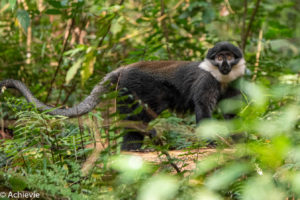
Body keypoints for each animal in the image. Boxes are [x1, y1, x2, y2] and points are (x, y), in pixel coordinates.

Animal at [0, 41, 245, 150]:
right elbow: (203, 109)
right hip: (132, 88)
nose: (225, 64)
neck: (220, 77)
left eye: (229, 56)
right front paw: (212, 143)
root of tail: (125, 68)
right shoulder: (206, 81)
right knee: (137, 117)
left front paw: (241, 141)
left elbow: (232, 114)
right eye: (220, 57)